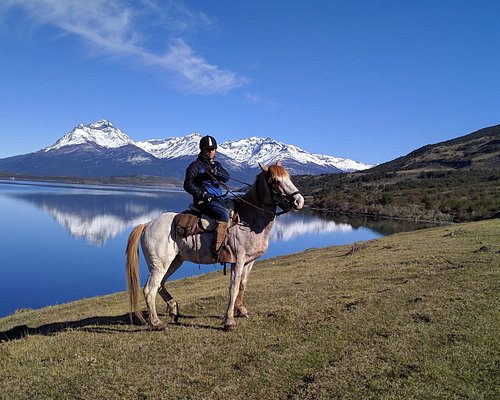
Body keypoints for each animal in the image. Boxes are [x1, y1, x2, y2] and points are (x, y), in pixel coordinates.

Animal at [125, 161, 304, 330]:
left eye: (289, 178)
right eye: (275, 181)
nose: (299, 201)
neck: (248, 219)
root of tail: (146, 224)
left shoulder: (250, 261)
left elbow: (243, 285)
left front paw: (241, 310)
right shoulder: (237, 261)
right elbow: (233, 288)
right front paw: (229, 321)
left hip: (174, 261)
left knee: (160, 285)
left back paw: (173, 309)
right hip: (159, 265)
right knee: (150, 290)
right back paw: (157, 323)